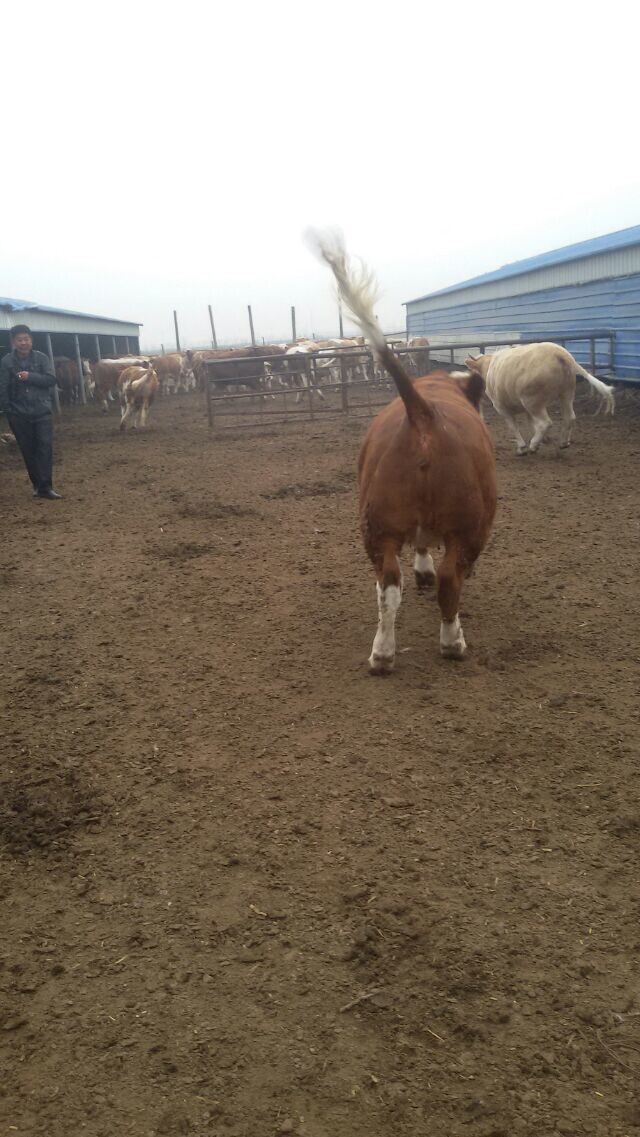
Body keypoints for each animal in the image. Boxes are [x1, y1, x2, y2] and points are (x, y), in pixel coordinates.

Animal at [306, 233, 497, 673]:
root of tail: (422, 411)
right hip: (470, 527)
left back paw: (382, 652)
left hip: (378, 527)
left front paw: (422, 569)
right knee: (450, 581)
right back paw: (452, 641)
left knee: (388, 586)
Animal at [466, 341, 613, 452]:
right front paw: (544, 440)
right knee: (569, 417)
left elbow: (514, 426)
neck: (489, 367)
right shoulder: (526, 410)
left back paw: (533, 445)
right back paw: (563, 442)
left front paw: (522, 447)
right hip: (566, 393)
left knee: (545, 422)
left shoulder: (502, 407)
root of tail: (560, 353)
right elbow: (532, 424)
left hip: (532, 401)